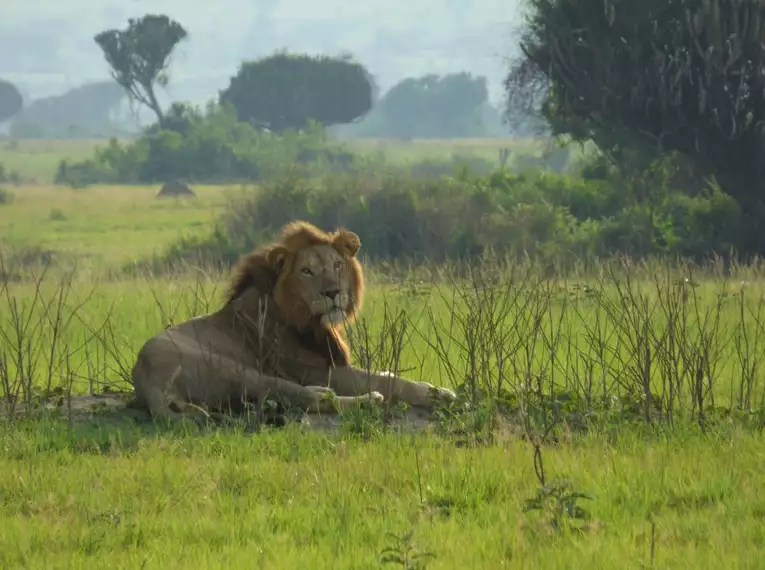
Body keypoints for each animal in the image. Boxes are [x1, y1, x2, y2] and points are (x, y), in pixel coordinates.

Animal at [129, 220, 456, 424]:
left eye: (337, 265)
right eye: (307, 271)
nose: (332, 292)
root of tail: (146, 380)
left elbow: (386, 372)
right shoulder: (316, 369)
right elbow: (385, 379)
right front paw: (438, 393)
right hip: (233, 367)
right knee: (305, 396)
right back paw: (367, 400)